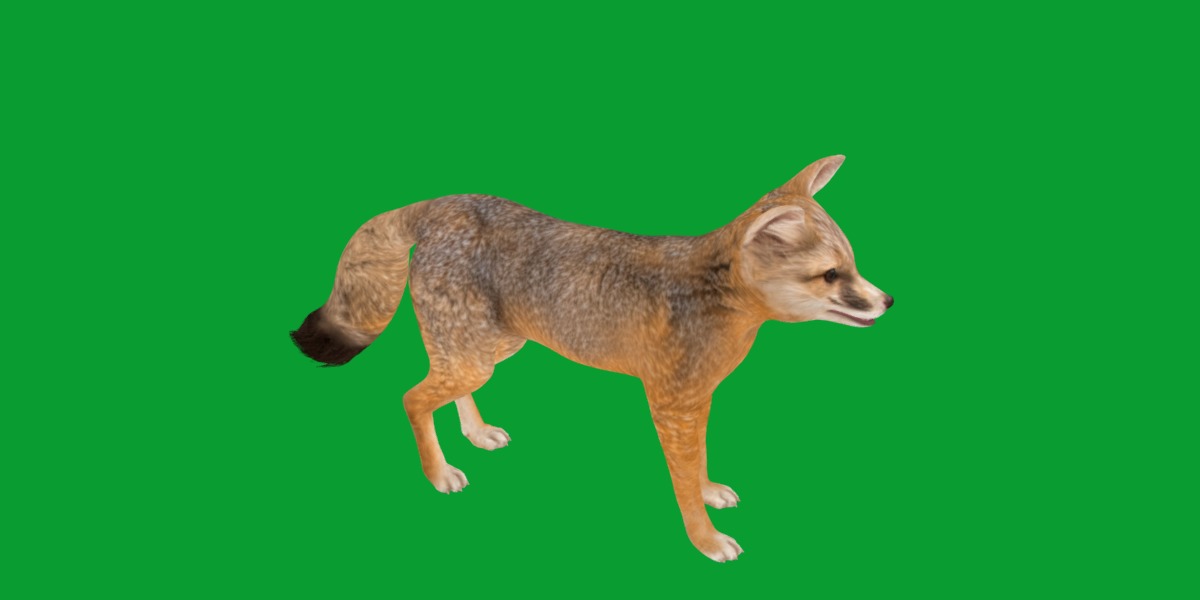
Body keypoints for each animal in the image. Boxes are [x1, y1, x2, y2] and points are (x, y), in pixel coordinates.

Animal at [291, 155, 893, 562]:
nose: (887, 301)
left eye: (852, 266)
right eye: (831, 275)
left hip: (485, 349)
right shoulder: (671, 405)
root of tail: (447, 203)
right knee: (412, 398)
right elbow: (682, 480)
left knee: (446, 390)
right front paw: (704, 539)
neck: (714, 300)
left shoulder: (696, 402)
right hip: (474, 354)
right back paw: (439, 473)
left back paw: (477, 432)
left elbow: (698, 463)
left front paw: (709, 492)